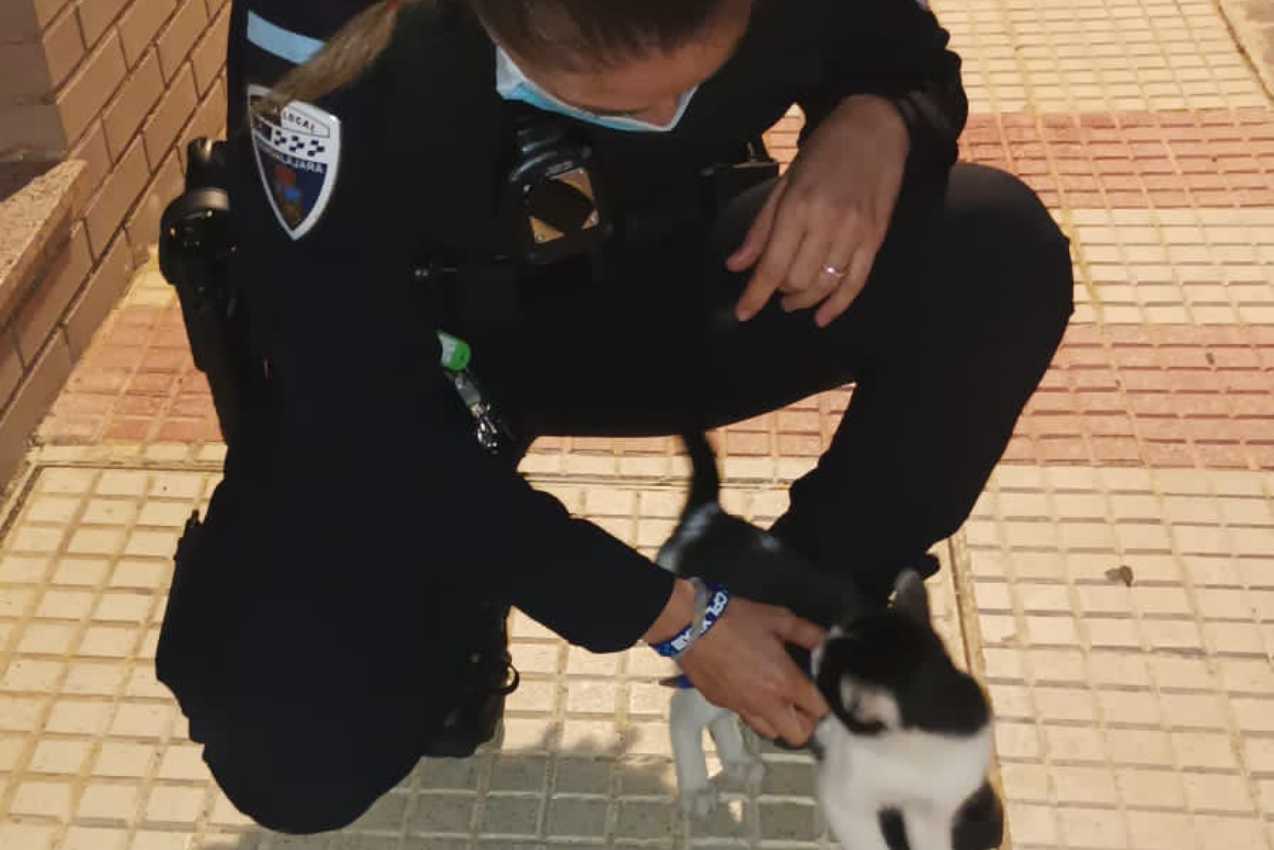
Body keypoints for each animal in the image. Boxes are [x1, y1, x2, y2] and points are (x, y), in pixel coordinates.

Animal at [657, 435, 1003, 846]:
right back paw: (695, 786)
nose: (812, 652)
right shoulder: (847, 798)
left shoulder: (931, 813)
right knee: (681, 711)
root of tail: (705, 519)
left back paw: (738, 762)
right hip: (724, 660)